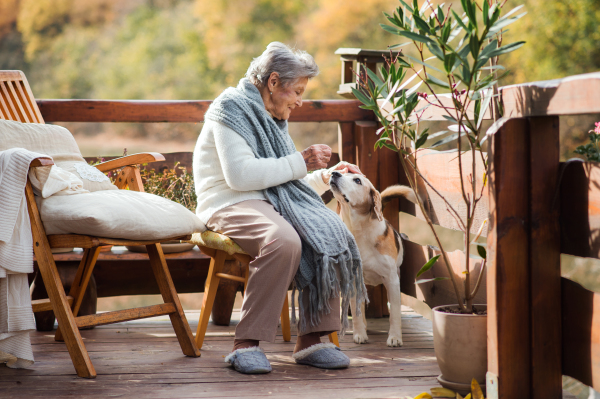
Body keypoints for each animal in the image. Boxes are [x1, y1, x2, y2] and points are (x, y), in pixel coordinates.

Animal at [328, 171, 418, 346]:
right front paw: (359, 334)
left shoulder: (392, 280)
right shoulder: (353, 280)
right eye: (345, 172)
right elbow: (357, 313)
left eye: (357, 180)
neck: (359, 232)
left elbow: (395, 313)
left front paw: (395, 337)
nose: (335, 173)